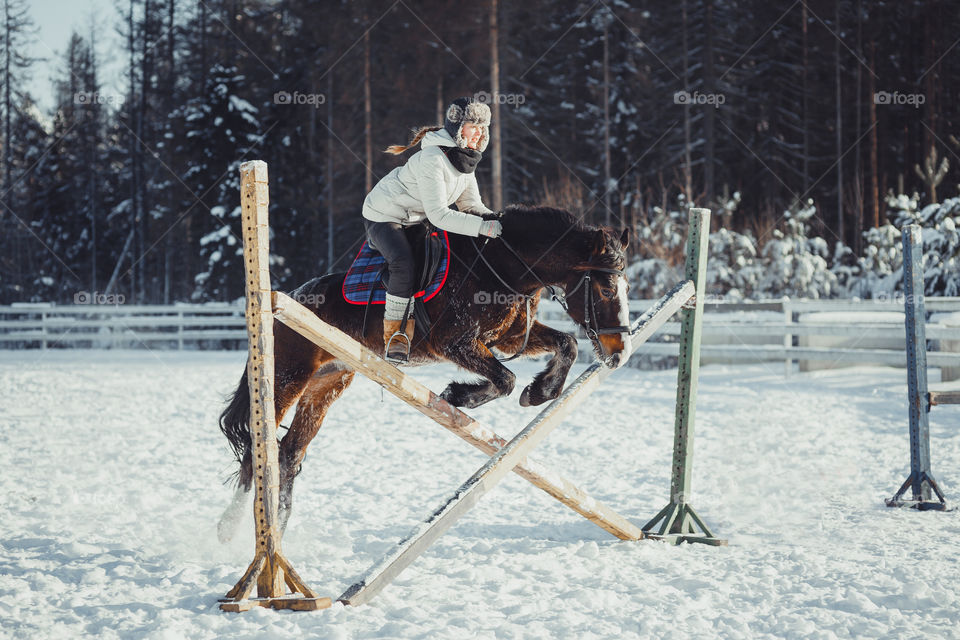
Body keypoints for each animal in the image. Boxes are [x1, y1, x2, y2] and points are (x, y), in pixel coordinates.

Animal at [220, 205, 632, 536]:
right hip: (286, 377)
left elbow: (567, 345)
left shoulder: (511, 338)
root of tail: (285, 300)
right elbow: (506, 379)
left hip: (327, 384)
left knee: (289, 454)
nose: (619, 354)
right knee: (257, 452)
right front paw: (459, 395)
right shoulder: (454, 343)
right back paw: (232, 533)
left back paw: (278, 527)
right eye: (607, 288)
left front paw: (540, 392)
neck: (503, 268)